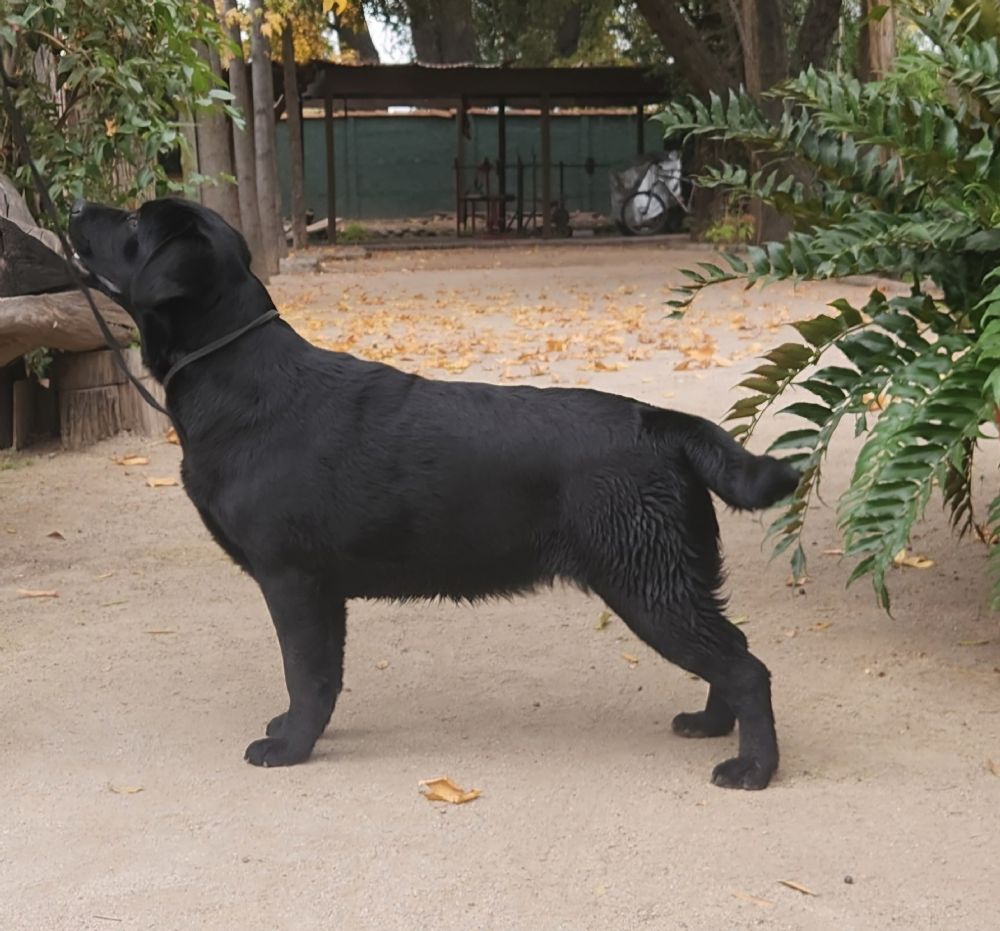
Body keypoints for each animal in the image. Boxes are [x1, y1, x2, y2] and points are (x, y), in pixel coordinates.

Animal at [69, 197, 799, 790]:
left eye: (133, 221)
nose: (75, 205)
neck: (239, 376)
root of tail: (663, 422)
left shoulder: (292, 578)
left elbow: (305, 673)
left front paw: (292, 747)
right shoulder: (322, 589)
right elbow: (324, 675)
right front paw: (298, 731)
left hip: (649, 585)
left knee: (747, 668)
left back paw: (753, 767)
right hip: (667, 580)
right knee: (730, 651)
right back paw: (711, 723)